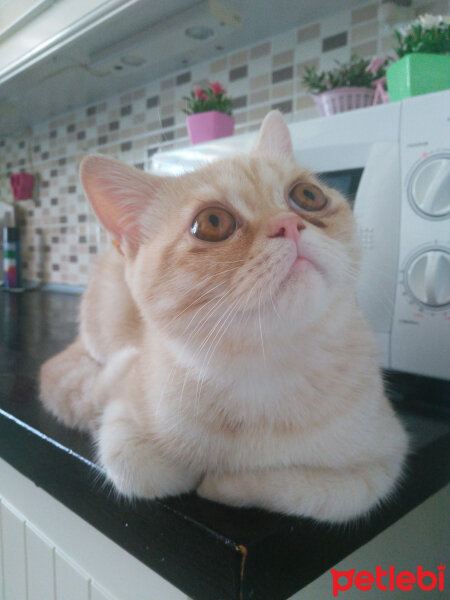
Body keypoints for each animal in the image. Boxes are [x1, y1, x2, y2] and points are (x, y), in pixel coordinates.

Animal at [41, 110, 408, 524]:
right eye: (213, 222)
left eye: (307, 196)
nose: (288, 224)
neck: (266, 366)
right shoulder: (121, 420)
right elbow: (136, 469)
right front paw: (190, 469)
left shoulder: (385, 460)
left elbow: (320, 494)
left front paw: (223, 482)